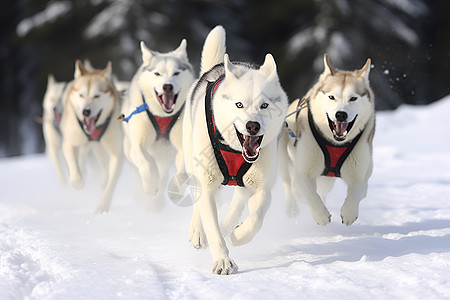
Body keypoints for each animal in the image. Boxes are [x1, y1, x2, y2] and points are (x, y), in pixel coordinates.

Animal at [59, 59, 124, 212]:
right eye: (81, 95)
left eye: (97, 96)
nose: (86, 111)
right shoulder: (70, 142)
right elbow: (75, 172)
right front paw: (79, 182)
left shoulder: (117, 154)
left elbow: (110, 184)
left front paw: (103, 207)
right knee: (83, 161)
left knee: (105, 171)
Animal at [119, 38, 195, 211]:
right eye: (157, 73)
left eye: (176, 73)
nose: (167, 86)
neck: (161, 115)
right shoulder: (138, 146)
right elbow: (146, 165)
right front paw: (150, 185)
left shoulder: (181, 146)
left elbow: (181, 170)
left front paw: (176, 191)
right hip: (129, 150)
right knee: (141, 169)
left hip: (165, 153)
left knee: (163, 173)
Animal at [184, 27, 286, 276]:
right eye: (239, 104)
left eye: (264, 105)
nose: (252, 126)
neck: (234, 150)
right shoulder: (207, 185)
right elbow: (211, 224)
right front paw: (222, 261)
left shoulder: (262, 186)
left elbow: (256, 216)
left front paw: (238, 235)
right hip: (191, 164)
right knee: (198, 200)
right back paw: (198, 233)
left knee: (237, 203)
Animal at [280, 55, 374, 226]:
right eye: (331, 97)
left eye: (353, 98)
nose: (341, 114)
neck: (335, 142)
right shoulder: (302, 172)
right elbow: (310, 194)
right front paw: (320, 215)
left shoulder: (361, 175)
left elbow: (356, 191)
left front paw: (349, 212)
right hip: (283, 160)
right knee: (288, 184)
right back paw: (292, 206)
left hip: (326, 181)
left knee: (321, 191)